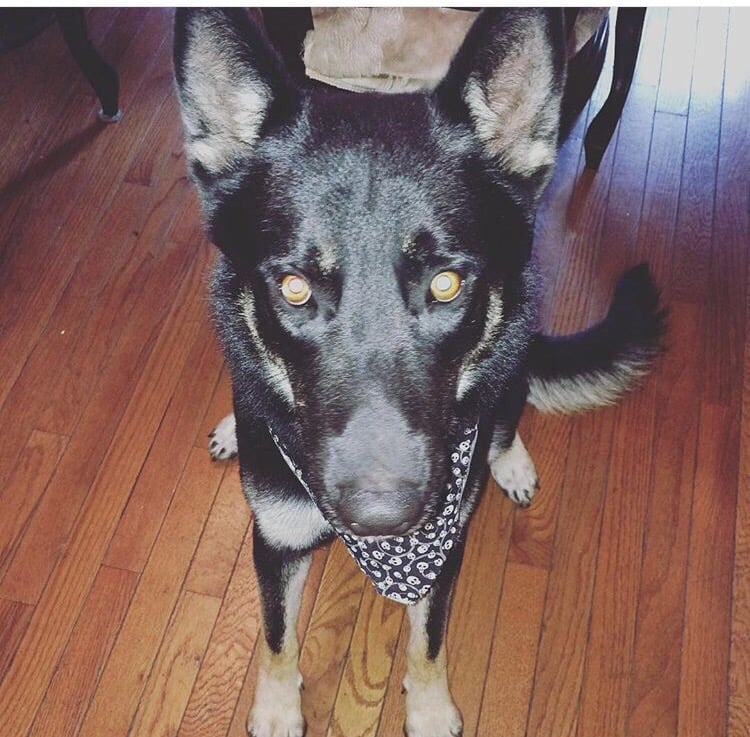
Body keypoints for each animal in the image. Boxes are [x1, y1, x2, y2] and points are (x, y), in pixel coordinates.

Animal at [173, 8, 665, 737]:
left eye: (445, 283)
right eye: (293, 288)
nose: (383, 518)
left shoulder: (445, 543)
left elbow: (427, 640)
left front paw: (430, 707)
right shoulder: (276, 539)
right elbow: (276, 637)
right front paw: (276, 708)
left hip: (511, 354)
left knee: (507, 409)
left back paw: (509, 459)